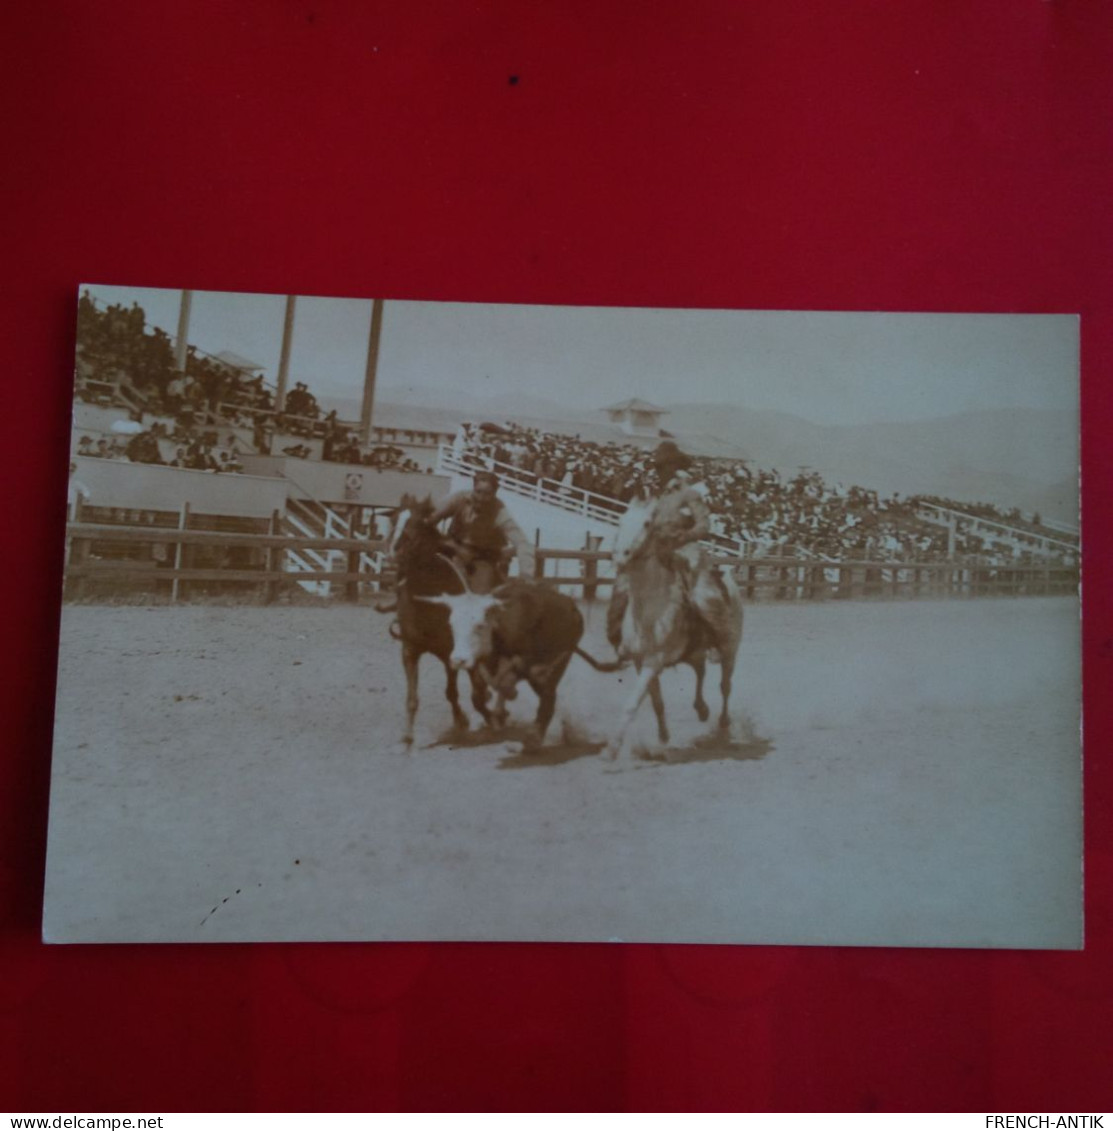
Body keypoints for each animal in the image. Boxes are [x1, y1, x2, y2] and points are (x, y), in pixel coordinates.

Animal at [377, 495, 490, 750]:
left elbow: (452, 692)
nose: (394, 553)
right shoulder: (409, 650)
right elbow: (412, 698)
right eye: (394, 519)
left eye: (419, 523)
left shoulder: (451, 654)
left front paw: (463, 722)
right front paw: (407, 738)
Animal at [606, 497, 742, 755]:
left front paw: (611, 750)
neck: (649, 612)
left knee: (725, 685)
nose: (620, 556)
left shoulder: (653, 661)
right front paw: (663, 736)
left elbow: (632, 703)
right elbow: (657, 702)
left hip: (729, 648)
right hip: (694, 651)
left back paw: (723, 722)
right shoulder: (640, 660)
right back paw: (701, 709)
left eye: (647, 523)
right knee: (701, 671)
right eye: (621, 520)